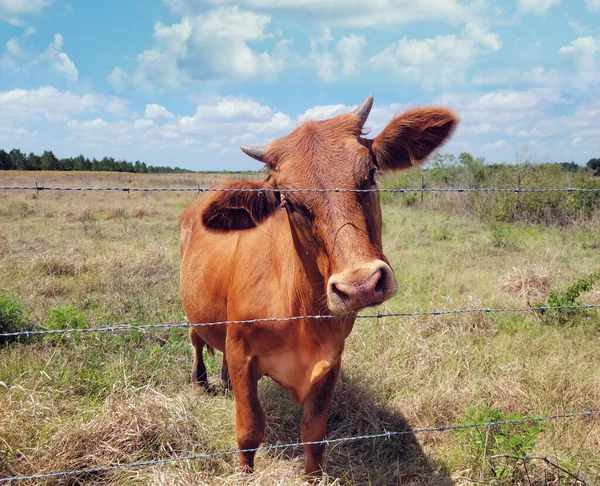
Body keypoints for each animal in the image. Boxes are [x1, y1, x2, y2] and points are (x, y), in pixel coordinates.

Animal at [179, 97, 460, 476]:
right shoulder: (242, 356)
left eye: (369, 176)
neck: (300, 315)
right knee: (196, 340)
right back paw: (200, 383)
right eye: (289, 202)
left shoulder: (331, 361)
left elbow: (314, 434)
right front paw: (245, 475)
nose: (360, 285)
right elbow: (249, 431)